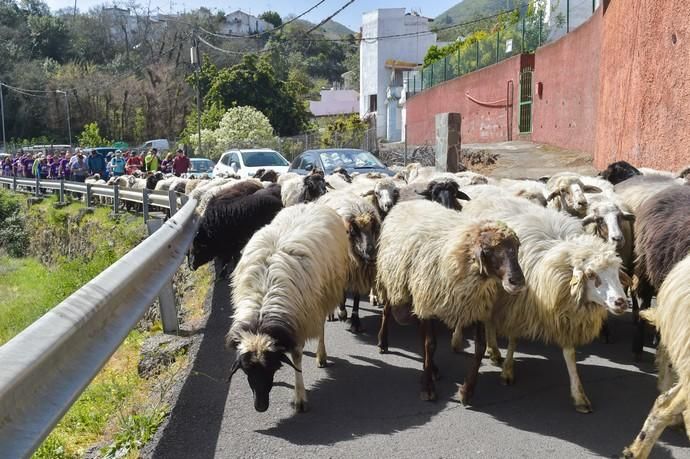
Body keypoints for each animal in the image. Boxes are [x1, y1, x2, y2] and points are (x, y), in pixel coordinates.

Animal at [227, 205, 350, 414]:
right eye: (246, 370)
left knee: (321, 327)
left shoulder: (301, 320)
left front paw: (299, 398)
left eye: (271, 368)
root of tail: (311, 204)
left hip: (322, 298)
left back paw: (321, 355)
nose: (260, 407)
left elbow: (297, 359)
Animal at [318, 189, 382, 332]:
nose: (371, 254)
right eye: (353, 231)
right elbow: (342, 294)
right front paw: (342, 313)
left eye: (373, 229)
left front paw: (355, 321)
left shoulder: (359, 272)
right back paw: (331, 314)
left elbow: (357, 298)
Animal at [374, 200, 524, 402]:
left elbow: (479, 348)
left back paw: (432, 368)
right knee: (387, 311)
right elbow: (430, 344)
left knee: (420, 331)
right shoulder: (428, 301)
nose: (517, 281)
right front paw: (427, 388)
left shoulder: (476, 306)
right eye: (487, 250)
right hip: (393, 280)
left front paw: (467, 391)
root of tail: (407, 202)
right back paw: (383, 343)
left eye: (516, 247)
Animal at [460, 197, 628, 414]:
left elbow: (570, 355)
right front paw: (507, 371)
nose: (621, 302)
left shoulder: (565, 314)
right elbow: (513, 339)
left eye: (617, 271)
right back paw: (491, 350)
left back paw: (493, 351)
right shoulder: (517, 304)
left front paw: (579, 396)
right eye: (591, 274)